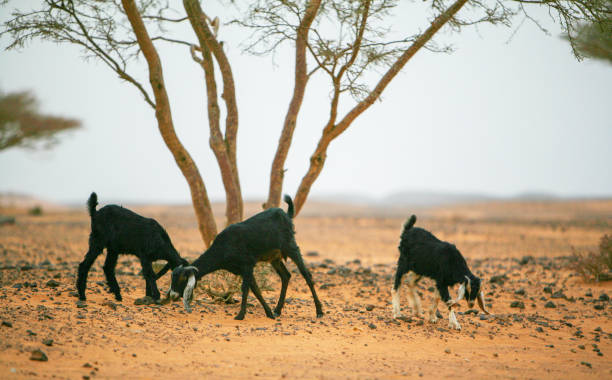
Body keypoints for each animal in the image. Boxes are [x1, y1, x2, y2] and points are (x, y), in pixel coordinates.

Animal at [165, 194, 322, 320]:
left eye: (182, 278)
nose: (173, 295)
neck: (223, 247)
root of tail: (286, 214)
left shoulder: (247, 264)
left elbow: (245, 288)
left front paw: (240, 315)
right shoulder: (242, 269)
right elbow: (256, 289)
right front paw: (269, 313)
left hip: (291, 247)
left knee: (306, 275)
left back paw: (319, 311)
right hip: (275, 257)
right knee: (286, 276)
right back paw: (278, 310)